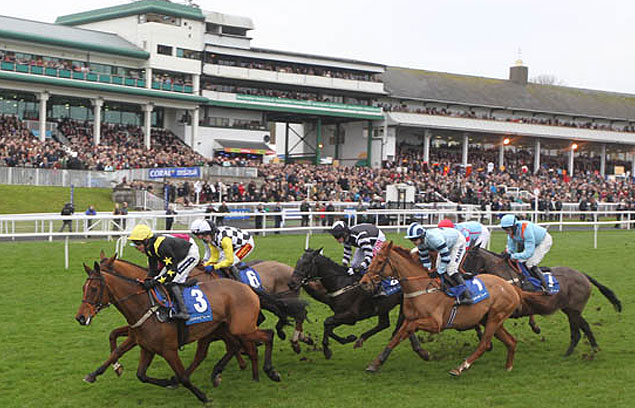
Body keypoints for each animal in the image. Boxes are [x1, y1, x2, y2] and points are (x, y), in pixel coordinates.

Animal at [76, 255, 282, 402]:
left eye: (94, 288)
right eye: (83, 288)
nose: (80, 317)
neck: (145, 303)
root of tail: (246, 287)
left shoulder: (168, 349)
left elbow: (182, 376)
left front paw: (202, 396)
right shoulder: (145, 345)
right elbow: (134, 368)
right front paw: (95, 374)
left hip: (240, 327)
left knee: (267, 335)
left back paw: (269, 371)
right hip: (225, 329)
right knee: (235, 346)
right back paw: (249, 374)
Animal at [290, 249, 430, 360]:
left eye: (306, 263)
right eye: (297, 262)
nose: (291, 283)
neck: (341, 283)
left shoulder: (350, 315)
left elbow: (327, 322)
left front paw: (327, 350)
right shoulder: (343, 316)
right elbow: (329, 327)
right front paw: (348, 338)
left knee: (400, 321)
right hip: (383, 307)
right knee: (384, 324)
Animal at [360, 242, 520, 376]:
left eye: (380, 262)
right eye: (372, 260)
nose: (364, 282)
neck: (421, 288)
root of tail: (510, 286)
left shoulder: (436, 324)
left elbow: (409, 328)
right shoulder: (409, 318)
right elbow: (397, 336)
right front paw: (376, 363)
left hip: (495, 318)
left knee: (484, 344)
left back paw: (460, 368)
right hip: (489, 319)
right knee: (511, 341)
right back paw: (508, 367)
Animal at [460, 247, 624, 356]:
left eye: (469, 258)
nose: (462, 276)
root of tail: (582, 275)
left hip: (573, 310)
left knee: (577, 330)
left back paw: (570, 352)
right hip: (570, 309)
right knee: (584, 326)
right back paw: (593, 347)